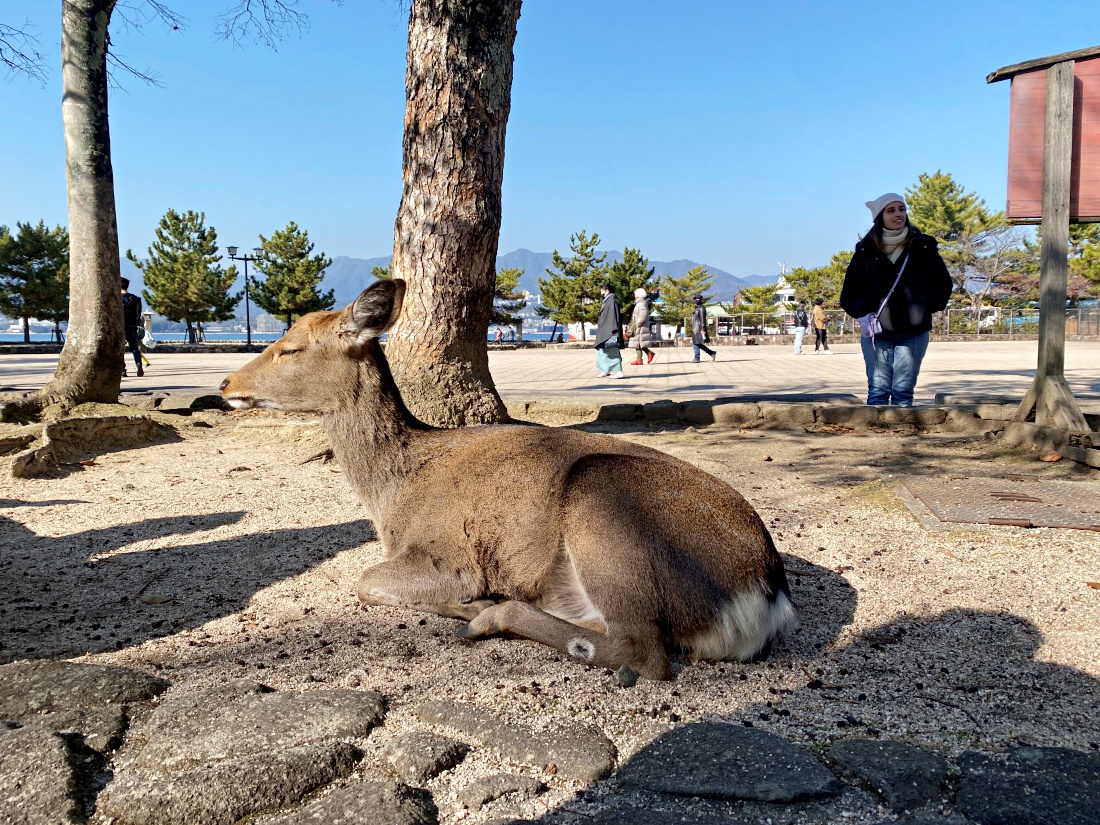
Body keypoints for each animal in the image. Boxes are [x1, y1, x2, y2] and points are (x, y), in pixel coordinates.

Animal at [218, 281, 796, 682]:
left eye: (290, 348)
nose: (225, 383)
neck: (392, 497)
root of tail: (767, 596)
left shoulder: (447, 553)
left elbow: (365, 581)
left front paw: (470, 604)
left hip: (600, 495)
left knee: (644, 652)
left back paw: (488, 617)